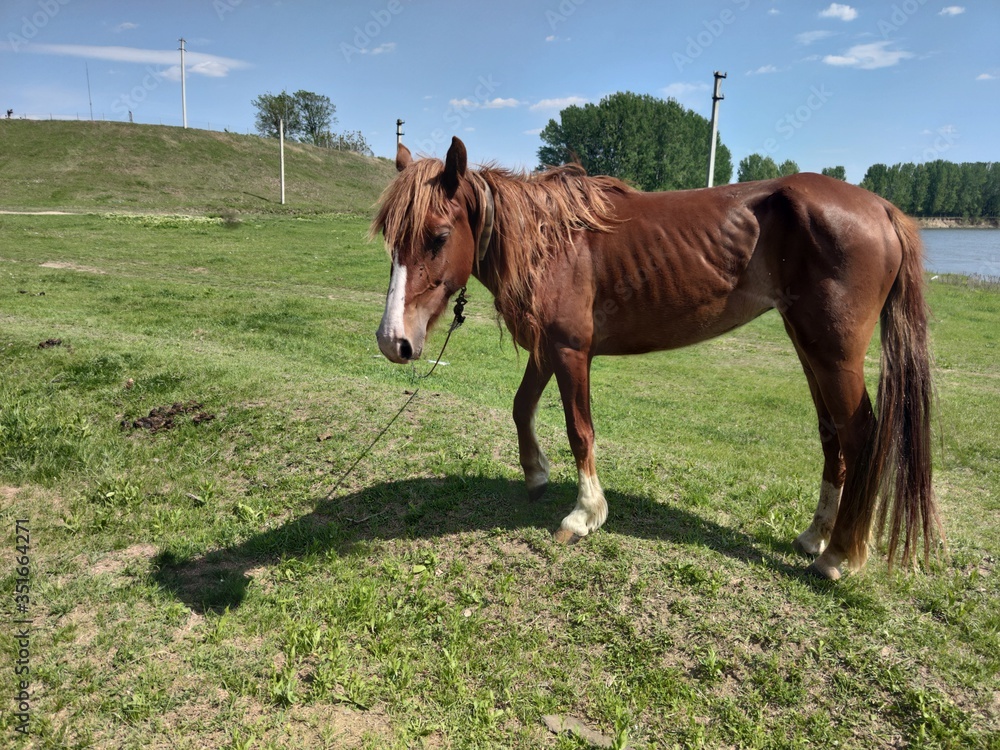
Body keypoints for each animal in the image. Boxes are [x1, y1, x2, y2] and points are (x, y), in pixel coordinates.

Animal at [372, 136, 938, 580]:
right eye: (392, 239)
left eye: (439, 236)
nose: (393, 341)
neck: (553, 242)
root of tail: (883, 209)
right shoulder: (549, 347)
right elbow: (521, 406)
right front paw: (535, 475)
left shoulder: (571, 350)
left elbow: (580, 430)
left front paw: (585, 514)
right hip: (811, 349)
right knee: (832, 436)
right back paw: (815, 535)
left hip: (834, 355)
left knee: (860, 436)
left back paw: (837, 554)